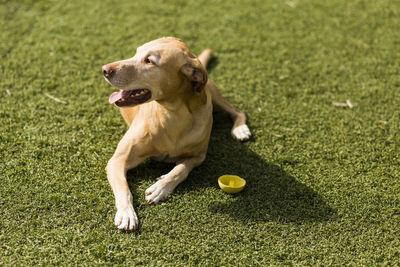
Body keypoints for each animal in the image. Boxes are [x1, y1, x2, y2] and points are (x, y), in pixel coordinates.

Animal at [103, 36, 252, 231]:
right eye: (136, 53)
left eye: (149, 61)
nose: (105, 69)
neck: (172, 114)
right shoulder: (118, 160)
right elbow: (124, 188)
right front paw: (127, 213)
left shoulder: (198, 156)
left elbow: (181, 170)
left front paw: (161, 187)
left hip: (212, 93)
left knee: (238, 111)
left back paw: (240, 129)